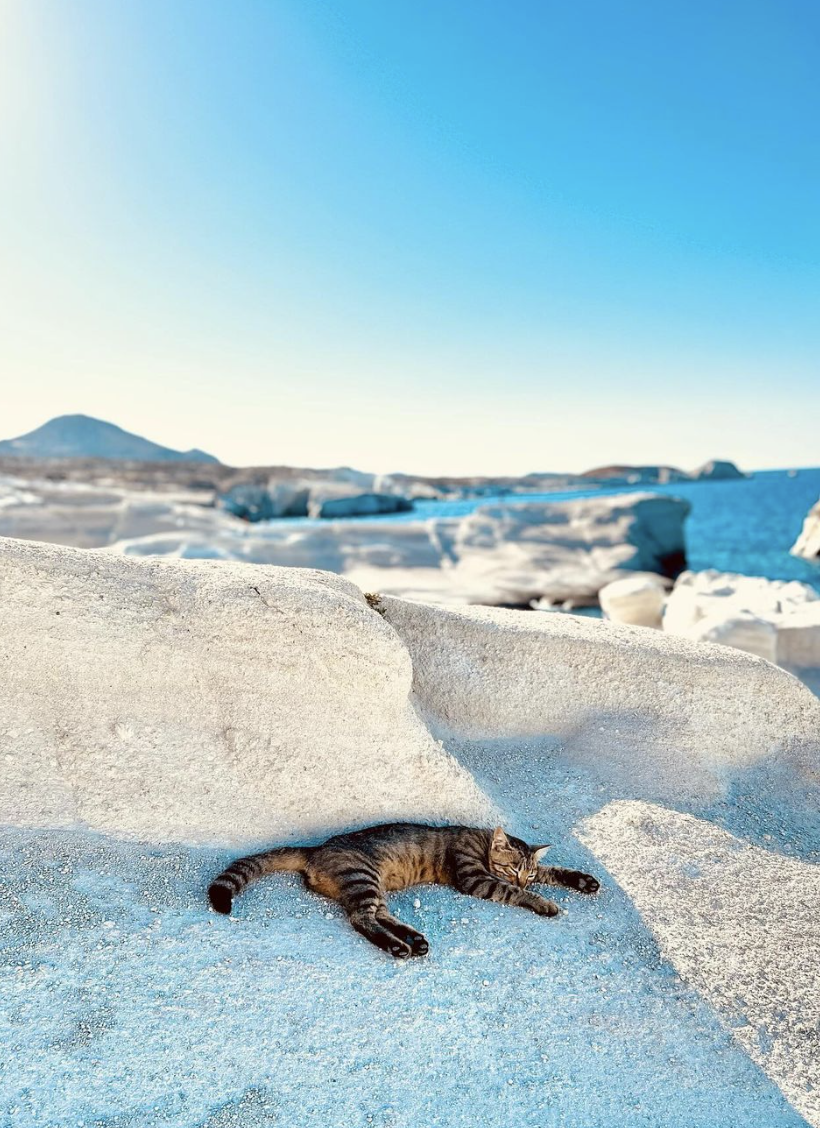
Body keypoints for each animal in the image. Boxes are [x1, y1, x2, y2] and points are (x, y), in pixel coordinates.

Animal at [208, 821, 600, 961]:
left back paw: (414, 939)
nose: (522, 879)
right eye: (512, 869)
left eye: (527, 871)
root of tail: (316, 848)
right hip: (363, 878)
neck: (480, 839)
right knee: (362, 918)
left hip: (373, 886)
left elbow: (554, 872)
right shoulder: (475, 878)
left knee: (379, 914)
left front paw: (583, 880)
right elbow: (515, 894)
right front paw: (543, 903)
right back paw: (399, 947)